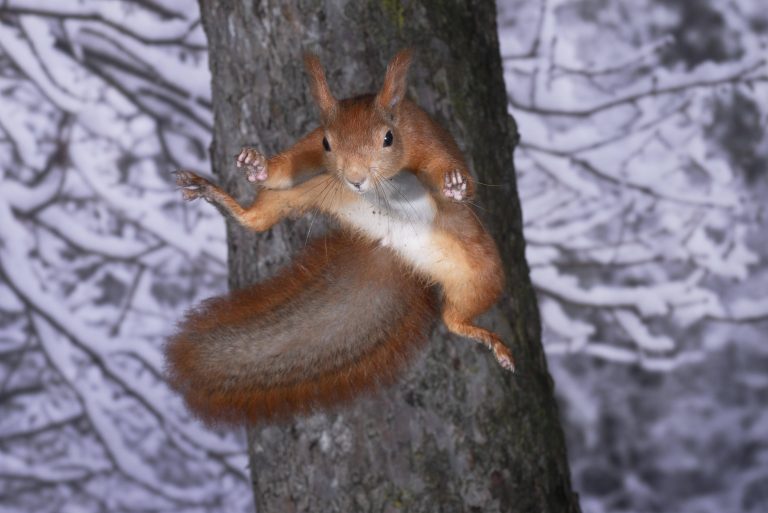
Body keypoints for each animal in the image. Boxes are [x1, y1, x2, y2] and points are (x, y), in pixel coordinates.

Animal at [169, 49, 516, 424]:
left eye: (388, 138)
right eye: (327, 142)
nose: (355, 178)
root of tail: (392, 245)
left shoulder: (428, 140)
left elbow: (454, 176)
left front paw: (454, 185)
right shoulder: (309, 148)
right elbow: (284, 170)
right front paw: (256, 165)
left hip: (479, 272)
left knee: (456, 318)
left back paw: (491, 341)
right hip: (318, 191)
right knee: (259, 219)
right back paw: (219, 198)